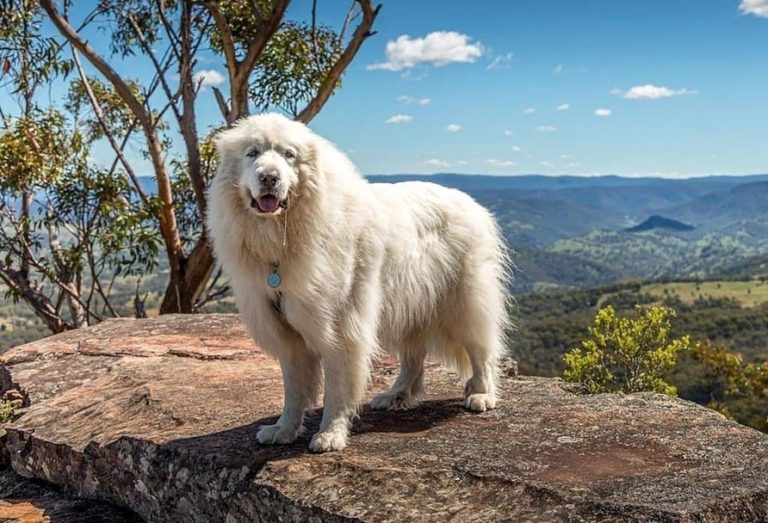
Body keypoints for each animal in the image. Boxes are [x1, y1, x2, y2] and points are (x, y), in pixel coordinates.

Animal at [207, 115, 512, 454]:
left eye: (288, 155)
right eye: (252, 153)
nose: (269, 178)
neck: (282, 237)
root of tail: (472, 204)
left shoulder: (340, 328)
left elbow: (336, 389)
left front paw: (330, 434)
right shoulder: (287, 333)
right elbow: (293, 391)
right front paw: (283, 430)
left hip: (463, 301)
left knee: (480, 349)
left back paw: (482, 394)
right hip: (408, 304)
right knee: (414, 357)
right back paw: (396, 395)